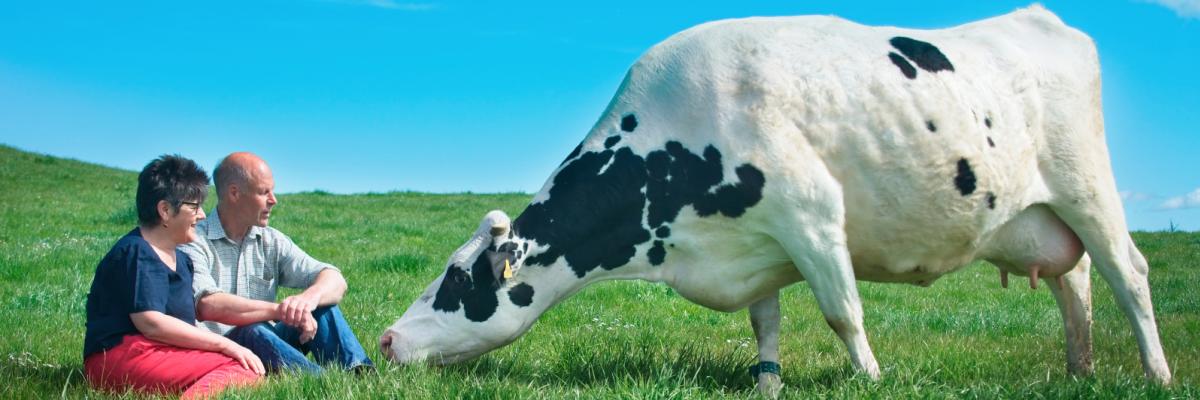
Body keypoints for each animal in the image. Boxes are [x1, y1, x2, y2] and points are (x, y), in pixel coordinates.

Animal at [381, 4, 1171, 393]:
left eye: (458, 279)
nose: (385, 339)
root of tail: (1037, 17)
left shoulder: (812, 214)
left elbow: (843, 312)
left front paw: (872, 380)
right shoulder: (754, 246)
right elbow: (766, 324)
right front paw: (768, 384)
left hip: (1089, 187)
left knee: (1128, 274)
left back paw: (1156, 375)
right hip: (1036, 217)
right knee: (1075, 282)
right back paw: (1079, 371)